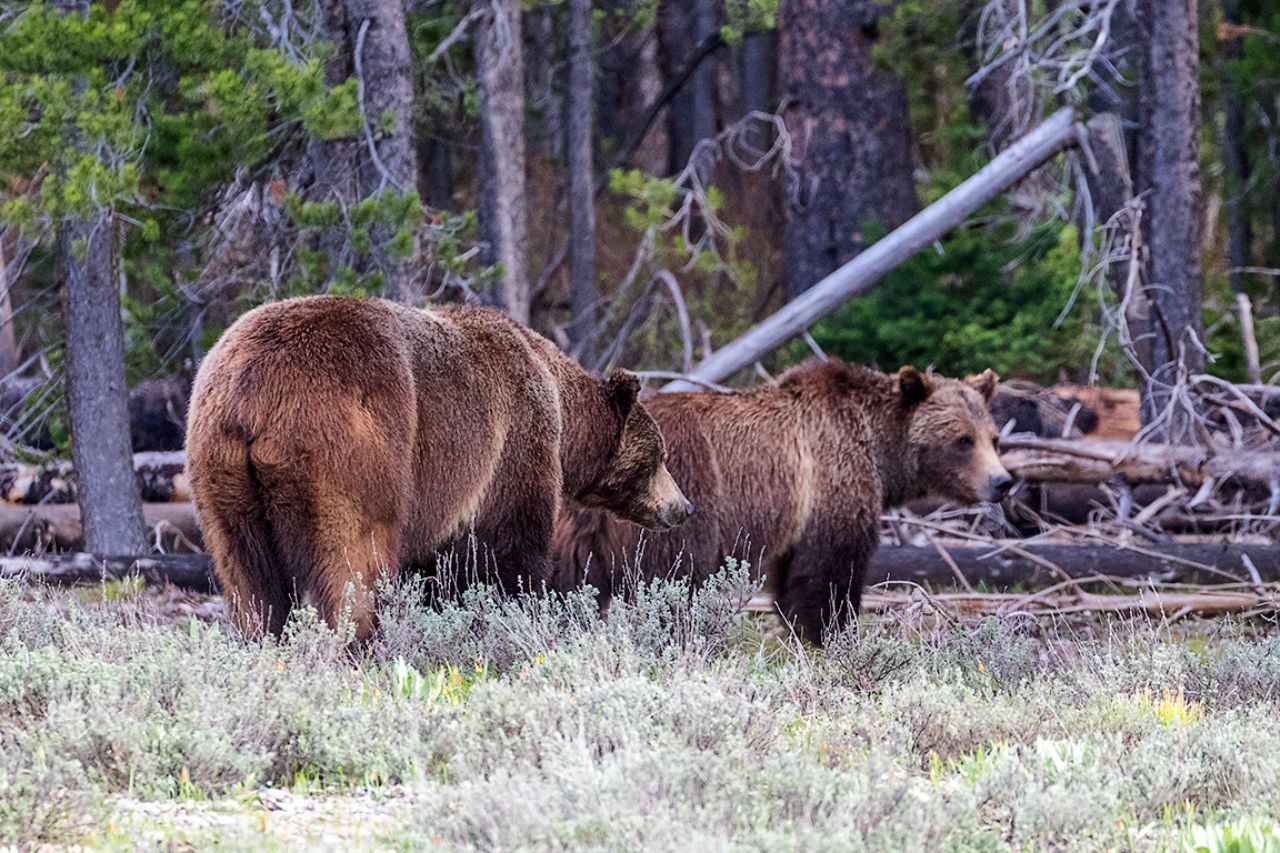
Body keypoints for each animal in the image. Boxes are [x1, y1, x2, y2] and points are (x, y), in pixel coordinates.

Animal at [186, 296, 692, 641]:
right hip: (350, 456)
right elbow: (512, 549)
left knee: (250, 582)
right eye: (659, 456)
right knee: (354, 564)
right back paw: (359, 645)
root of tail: (254, 397)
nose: (682, 507)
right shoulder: (514, 446)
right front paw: (524, 610)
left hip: (221, 479)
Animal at [553, 359, 1010, 643]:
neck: (877, 447)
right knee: (670, 578)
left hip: (573, 528)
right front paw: (831, 632)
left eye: (993, 437)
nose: (1002, 482)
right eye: (963, 440)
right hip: (672, 504)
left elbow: (792, 575)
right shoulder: (831, 480)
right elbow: (829, 572)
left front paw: (800, 630)